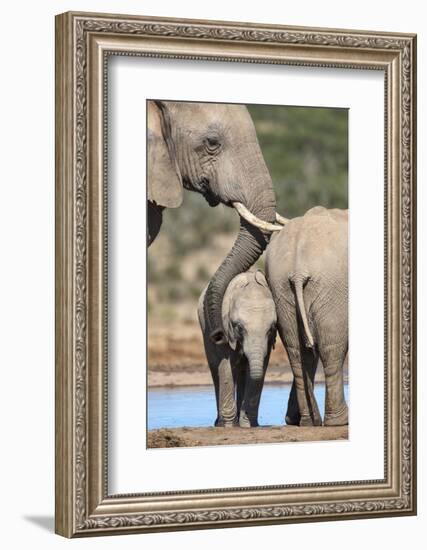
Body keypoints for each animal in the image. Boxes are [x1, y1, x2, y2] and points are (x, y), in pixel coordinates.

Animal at [198, 272, 278, 432]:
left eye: (271, 328)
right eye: (239, 327)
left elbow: (258, 370)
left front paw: (248, 424)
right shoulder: (225, 329)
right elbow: (226, 367)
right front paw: (229, 425)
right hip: (205, 329)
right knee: (216, 369)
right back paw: (221, 423)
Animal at [266, 207, 350, 426]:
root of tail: (298, 269)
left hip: (281, 288)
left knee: (297, 351)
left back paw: (308, 421)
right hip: (332, 288)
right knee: (332, 349)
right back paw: (338, 421)